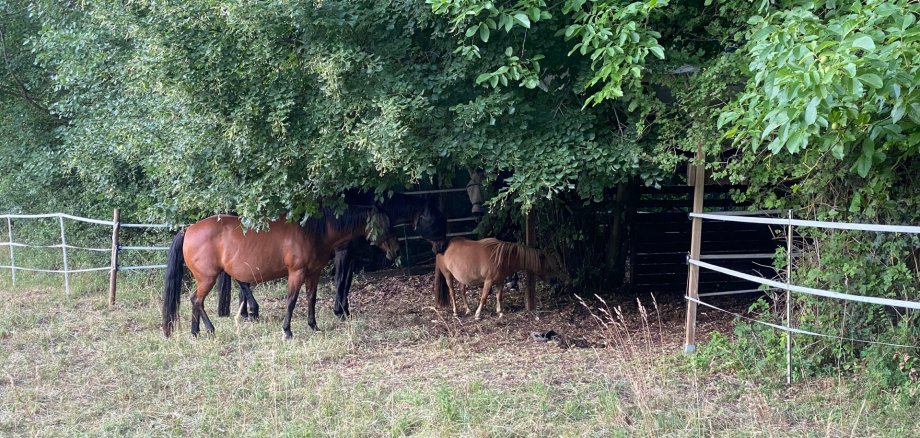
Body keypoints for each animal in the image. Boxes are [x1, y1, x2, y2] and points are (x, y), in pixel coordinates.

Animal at [161, 206, 399, 339]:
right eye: (382, 225)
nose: (395, 250)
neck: (312, 232)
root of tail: (188, 229)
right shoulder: (296, 273)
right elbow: (292, 301)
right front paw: (287, 331)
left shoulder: (313, 273)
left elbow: (311, 299)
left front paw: (313, 326)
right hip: (207, 278)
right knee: (197, 300)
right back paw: (209, 330)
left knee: (195, 302)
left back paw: (196, 333)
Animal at [215, 192, 448, 321]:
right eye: (437, 219)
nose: (442, 246)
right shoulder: (343, 252)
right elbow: (340, 281)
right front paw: (340, 311)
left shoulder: (352, 254)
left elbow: (346, 282)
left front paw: (345, 310)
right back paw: (253, 310)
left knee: (242, 279)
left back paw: (247, 313)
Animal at [433, 237, 568, 319]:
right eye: (548, 267)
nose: (554, 280)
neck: (503, 258)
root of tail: (441, 248)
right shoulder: (488, 281)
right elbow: (484, 297)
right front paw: (478, 314)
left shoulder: (500, 281)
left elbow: (499, 296)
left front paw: (500, 312)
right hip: (448, 275)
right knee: (452, 292)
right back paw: (456, 312)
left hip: (462, 278)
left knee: (462, 292)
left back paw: (467, 310)